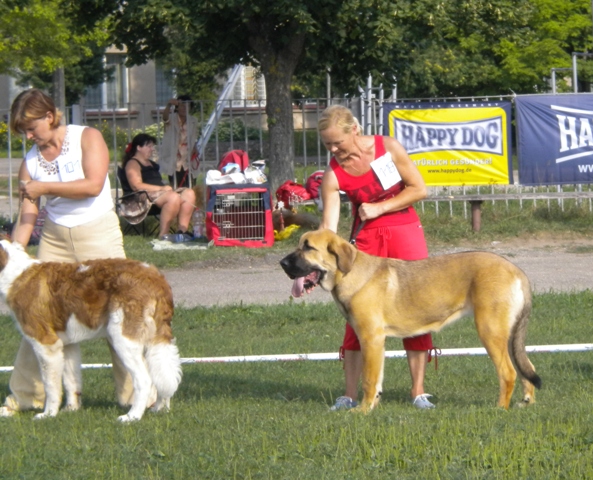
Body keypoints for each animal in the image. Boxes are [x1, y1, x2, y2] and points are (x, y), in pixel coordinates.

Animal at [0, 240, 182, 420]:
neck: (13, 273)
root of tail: (155, 276)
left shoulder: (46, 345)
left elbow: (50, 385)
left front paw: (48, 414)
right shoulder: (67, 345)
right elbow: (71, 381)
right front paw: (71, 409)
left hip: (122, 339)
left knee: (144, 379)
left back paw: (132, 417)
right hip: (155, 338)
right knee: (162, 373)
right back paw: (160, 409)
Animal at [280, 229, 540, 412]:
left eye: (308, 248)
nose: (282, 263)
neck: (350, 272)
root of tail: (517, 271)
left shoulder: (371, 338)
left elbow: (369, 379)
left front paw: (363, 411)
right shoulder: (375, 343)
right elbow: (377, 379)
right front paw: (373, 405)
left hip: (490, 331)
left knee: (508, 372)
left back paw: (499, 408)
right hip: (509, 335)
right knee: (525, 367)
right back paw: (526, 402)